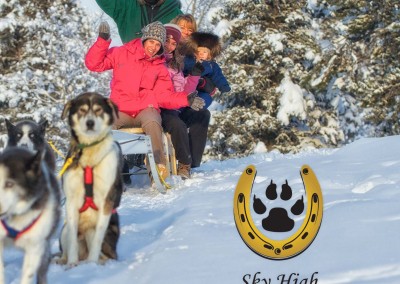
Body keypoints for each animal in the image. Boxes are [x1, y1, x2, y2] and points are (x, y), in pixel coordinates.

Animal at [57, 92, 122, 266]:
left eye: (98, 110)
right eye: (82, 110)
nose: (90, 122)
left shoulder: (106, 202)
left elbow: (98, 239)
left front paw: (92, 264)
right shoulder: (71, 202)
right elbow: (72, 240)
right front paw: (72, 264)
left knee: (104, 252)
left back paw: (96, 262)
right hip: (64, 230)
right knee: (66, 246)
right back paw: (63, 261)